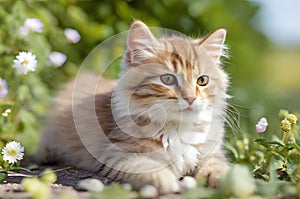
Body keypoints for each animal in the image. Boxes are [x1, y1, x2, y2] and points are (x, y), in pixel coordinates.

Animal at [37, 21, 230, 194]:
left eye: (202, 80)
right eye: (168, 79)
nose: (190, 98)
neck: (178, 128)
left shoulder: (211, 151)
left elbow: (217, 164)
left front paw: (222, 177)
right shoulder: (117, 154)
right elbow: (147, 166)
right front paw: (167, 180)